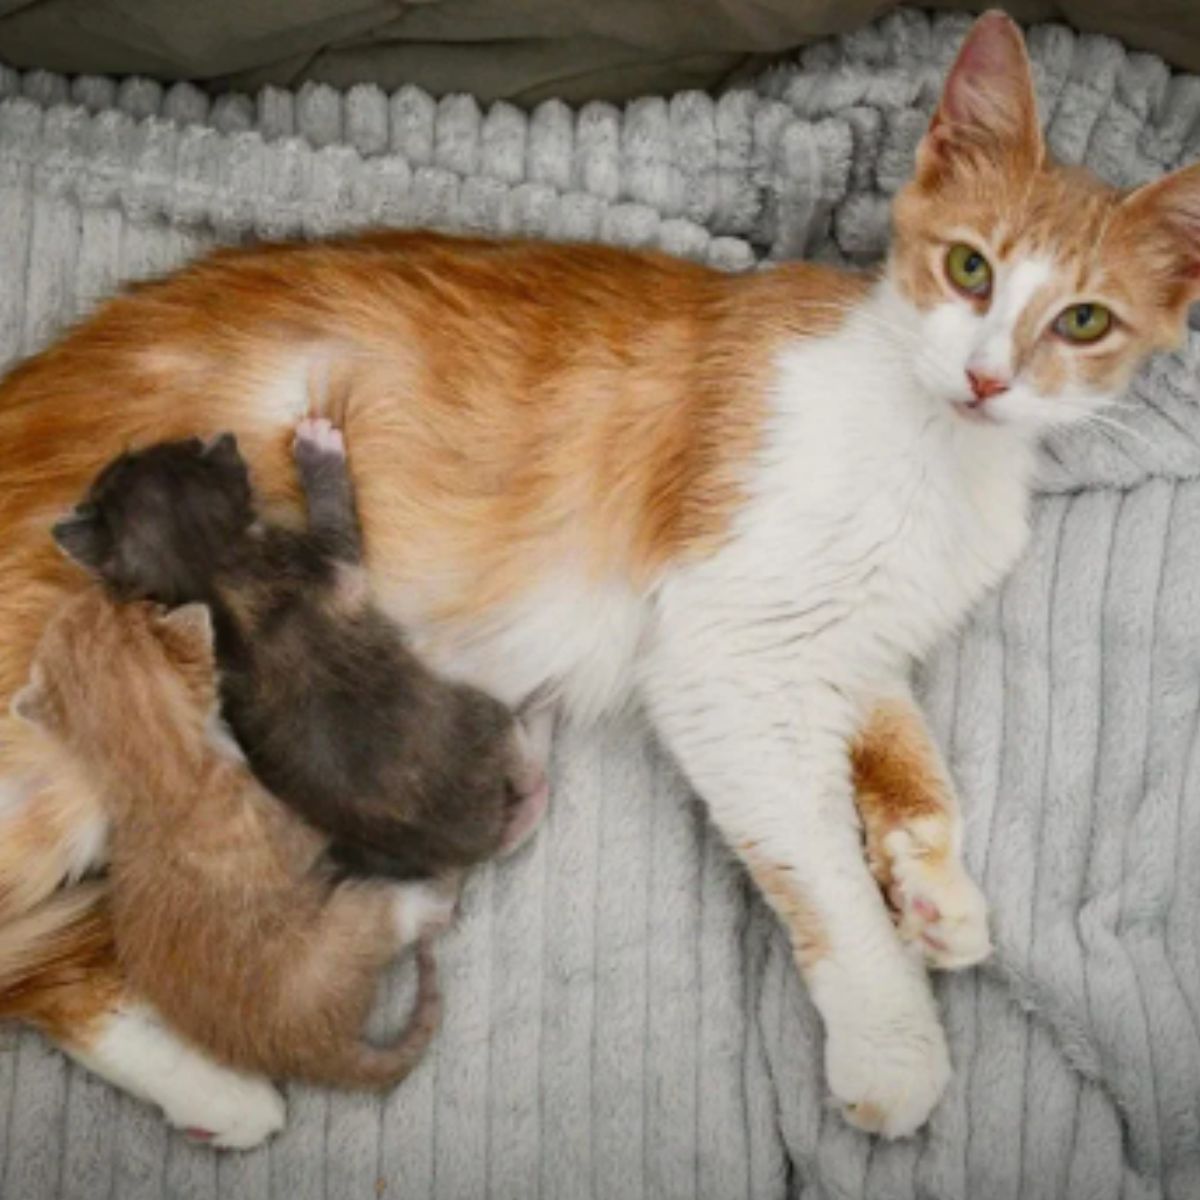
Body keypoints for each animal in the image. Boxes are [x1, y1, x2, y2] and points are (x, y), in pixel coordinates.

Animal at [2, 11, 1200, 1142]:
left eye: (1083, 321)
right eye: (969, 268)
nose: (989, 379)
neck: (935, 444)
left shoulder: (848, 638)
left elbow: (912, 760)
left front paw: (932, 887)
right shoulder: (727, 653)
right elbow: (817, 865)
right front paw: (889, 1034)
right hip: (51, 761)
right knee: (23, 961)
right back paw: (215, 1085)